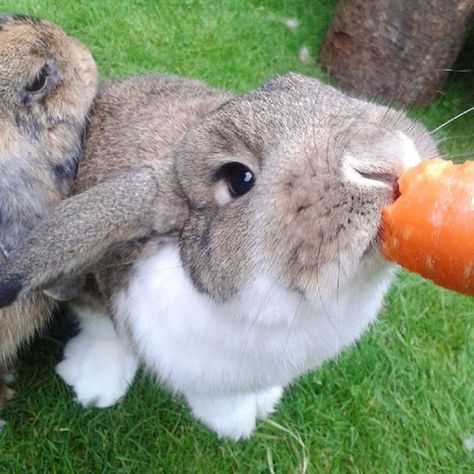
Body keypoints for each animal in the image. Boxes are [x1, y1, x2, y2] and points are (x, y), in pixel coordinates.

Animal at [0, 66, 436, 436]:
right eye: (239, 178)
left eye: (314, 87)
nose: (386, 156)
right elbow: (102, 325)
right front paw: (94, 384)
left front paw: (252, 410)